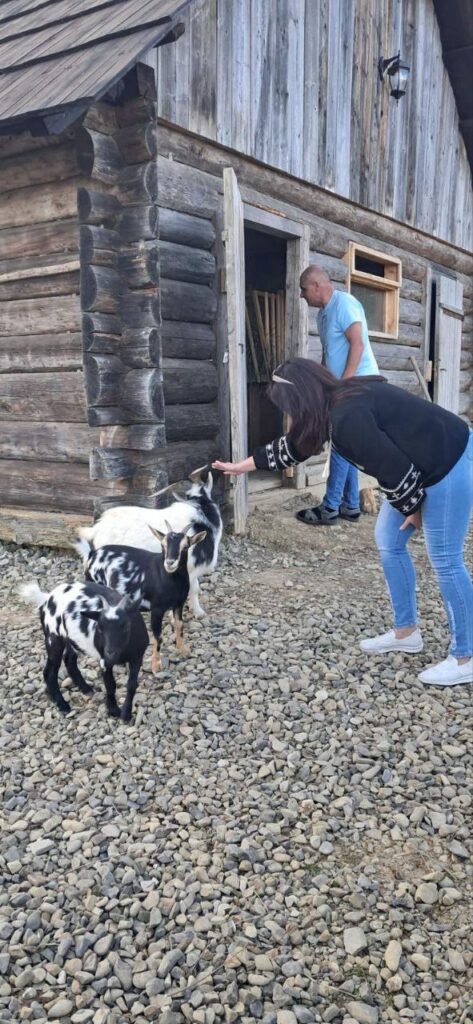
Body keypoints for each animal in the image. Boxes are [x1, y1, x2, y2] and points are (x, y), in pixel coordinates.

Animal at [19, 580, 149, 722]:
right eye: (100, 628)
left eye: (126, 626)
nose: (110, 653)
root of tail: (47, 598)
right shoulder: (104, 661)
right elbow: (110, 684)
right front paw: (114, 710)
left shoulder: (137, 658)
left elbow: (132, 685)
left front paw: (126, 714)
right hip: (53, 637)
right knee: (49, 671)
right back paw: (62, 704)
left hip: (71, 639)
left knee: (69, 660)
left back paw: (85, 688)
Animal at [76, 522, 207, 674]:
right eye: (163, 545)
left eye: (185, 546)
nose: (170, 563)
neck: (168, 578)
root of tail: (92, 554)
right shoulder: (156, 609)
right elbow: (158, 636)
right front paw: (156, 665)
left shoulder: (178, 604)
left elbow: (180, 626)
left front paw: (183, 651)